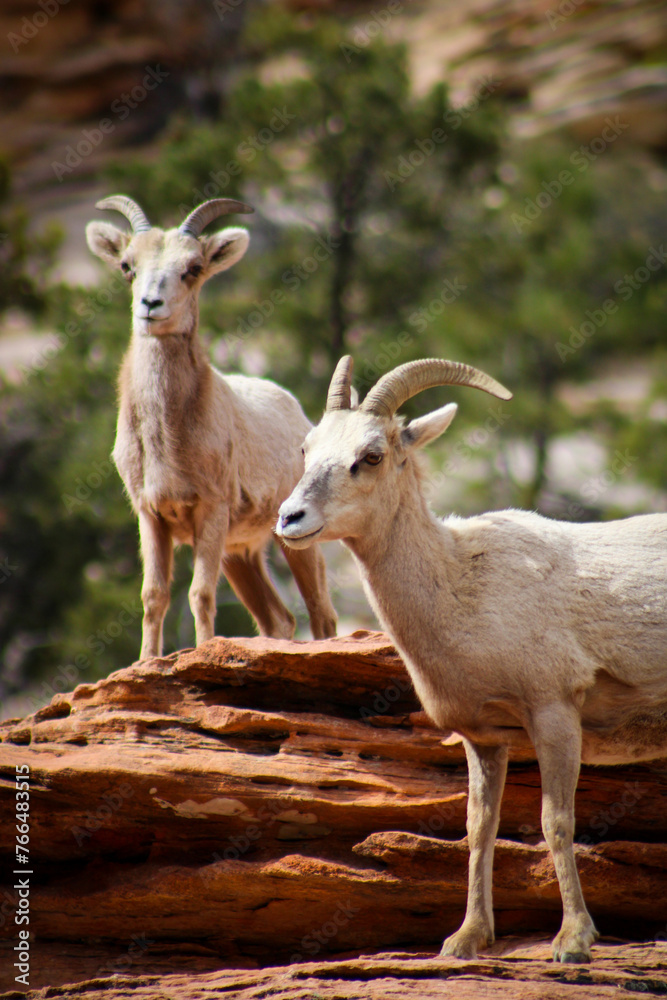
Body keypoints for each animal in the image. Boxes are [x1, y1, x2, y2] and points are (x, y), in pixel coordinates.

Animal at [86, 194, 337, 659]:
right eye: (128, 266)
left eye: (193, 268)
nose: (150, 306)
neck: (169, 441)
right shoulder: (151, 515)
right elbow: (154, 596)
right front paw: (148, 661)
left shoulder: (212, 511)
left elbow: (199, 594)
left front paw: (203, 652)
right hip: (240, 553)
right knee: (279, 620)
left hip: (294, 539)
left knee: (321, 614)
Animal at [276, 354, 667, 964]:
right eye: (306, 447)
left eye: (372, 455)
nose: (290, 519)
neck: (462, 583)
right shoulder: (484, 739)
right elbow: (479, 827)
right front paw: (466, 939)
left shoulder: (555, 713)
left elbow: (556, 821)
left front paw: (573, 941)